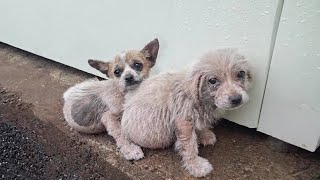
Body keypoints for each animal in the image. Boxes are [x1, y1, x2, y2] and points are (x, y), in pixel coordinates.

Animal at [121, 48, 254, 178]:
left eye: (241, 73)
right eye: (212, 81)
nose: (237, 99)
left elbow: (201, 125)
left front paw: (205, 135)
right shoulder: (184, 122)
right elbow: (189, 146)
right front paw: (196, 165)